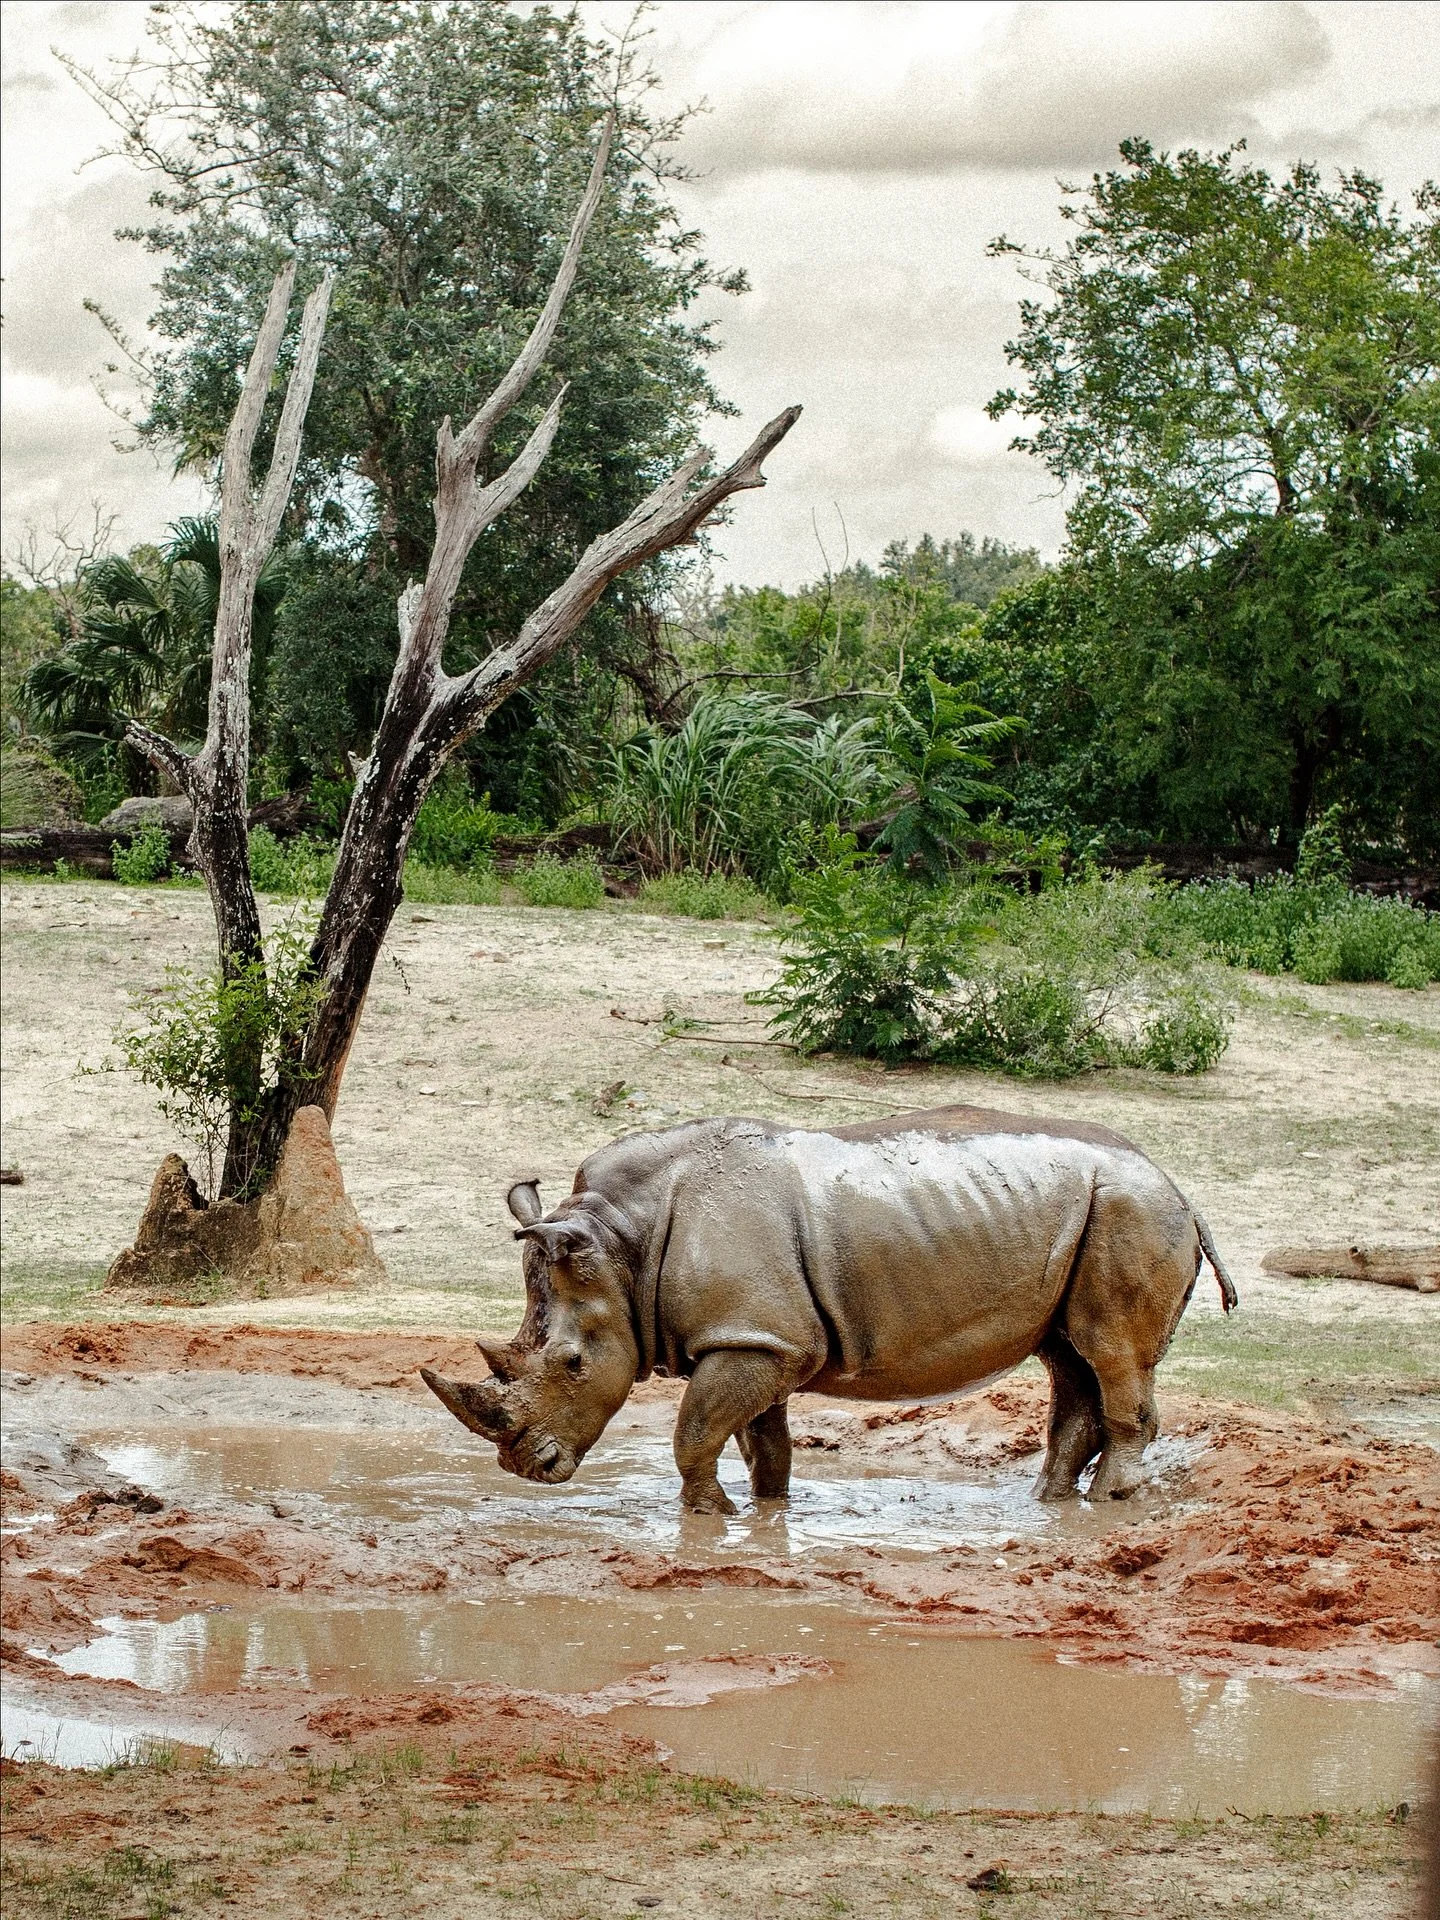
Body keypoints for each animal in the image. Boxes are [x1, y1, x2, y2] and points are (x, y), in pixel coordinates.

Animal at [422, 1106, 1236, 1513]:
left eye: (571, 1363)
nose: (527, 1468)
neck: (622, 1240)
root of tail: (1184, 1192)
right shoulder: (762, 1337)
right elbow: (760, 1440)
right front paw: (766, 1513)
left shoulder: (754, 1338)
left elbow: (694, 1431)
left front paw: (708, 1517)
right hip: (1104, 1216)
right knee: (1070, 1359)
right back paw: (1048, 1504)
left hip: (1133, 1212)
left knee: (1109, 1352)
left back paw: (1110, 1502)